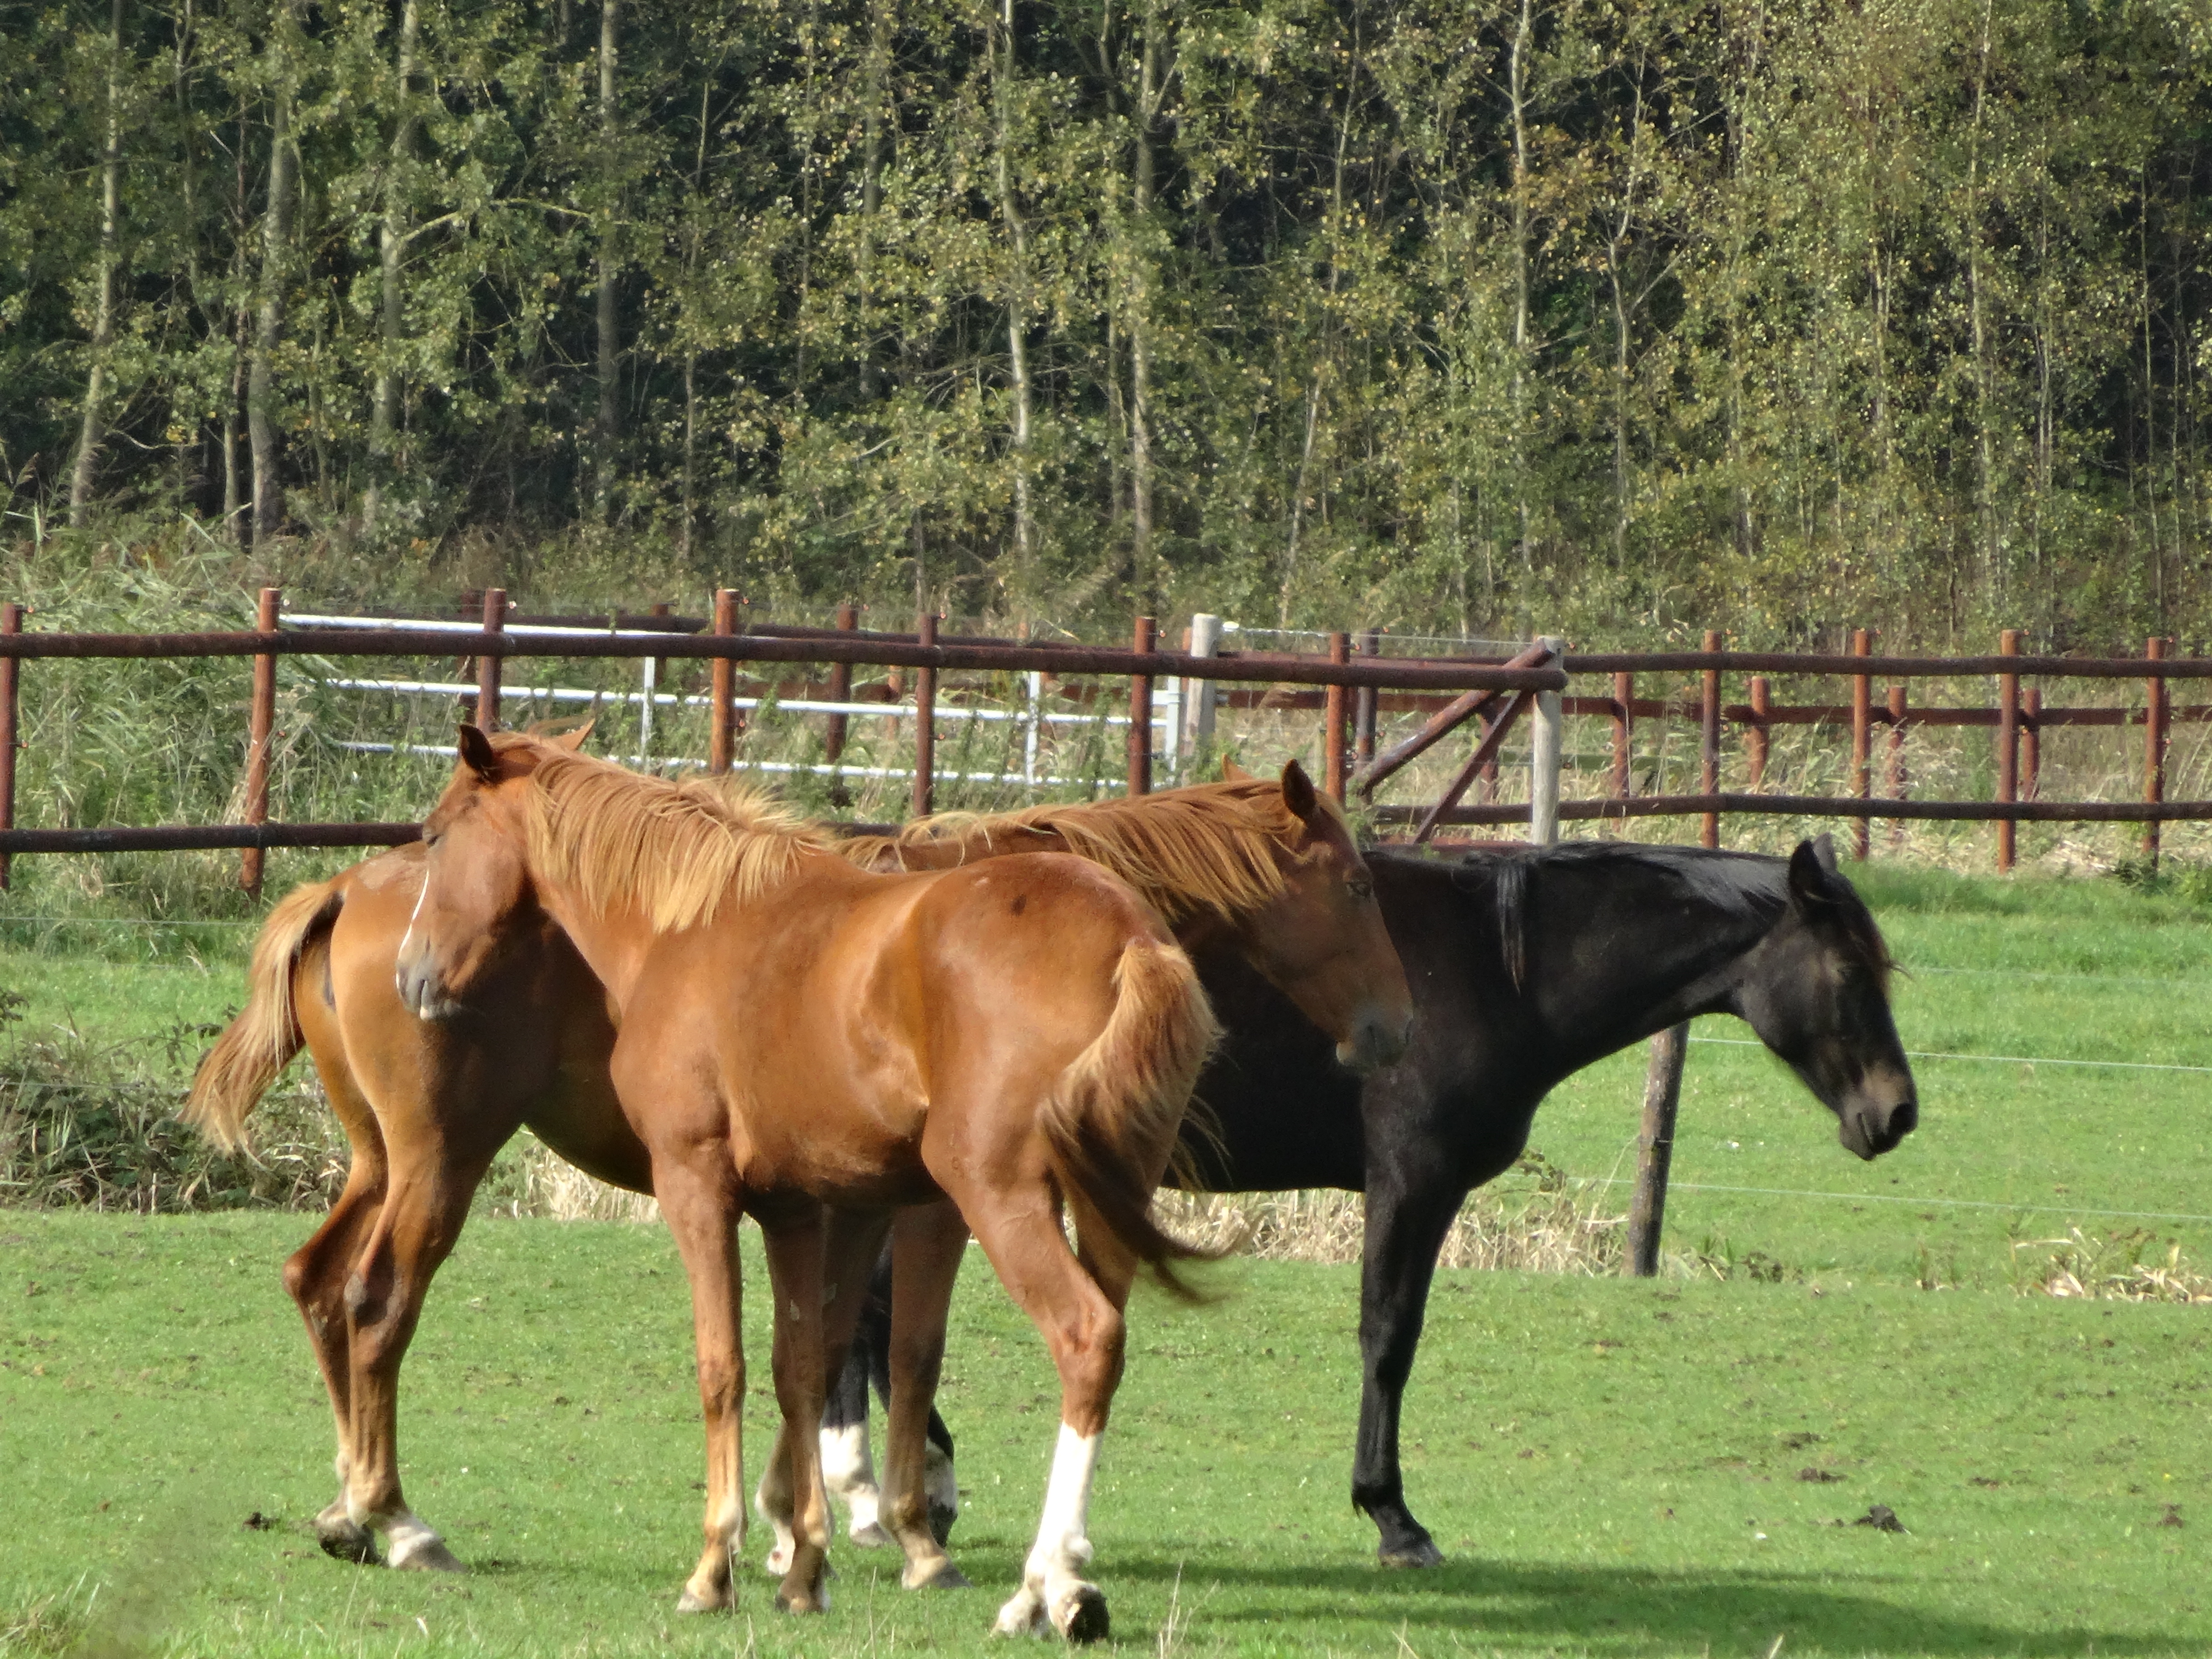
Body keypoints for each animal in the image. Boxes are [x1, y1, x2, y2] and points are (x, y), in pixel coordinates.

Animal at [186, 739, 1410, 1635]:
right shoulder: (833, 1201)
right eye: (1356, 885)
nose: (1391, 1028)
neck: (686, 925)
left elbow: (793, 1360)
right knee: (355, 1294)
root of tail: (346, 887)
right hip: (425, 1158)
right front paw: (829, 1535)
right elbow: (822, 1359)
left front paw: (783, 1545)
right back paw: (378, 1515)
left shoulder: (779, 1195)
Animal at [814, 835, 1919, 1571]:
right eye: (1847, 968)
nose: (1896, 1113)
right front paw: (1393, 1517)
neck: (1491, 970)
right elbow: (1389, 1335)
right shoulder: (1412, 1184)